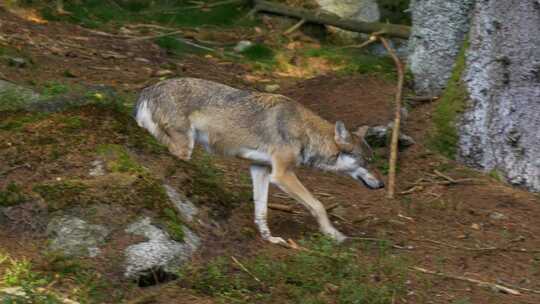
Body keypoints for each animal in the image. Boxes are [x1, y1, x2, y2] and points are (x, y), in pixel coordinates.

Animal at [134, 78, 384, 245]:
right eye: (366, 162)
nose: (382, 185)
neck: (305, 131)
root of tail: (148, 90)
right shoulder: (282, 175)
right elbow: (318, 205)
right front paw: (333, 234)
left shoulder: (260, 170)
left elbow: (261, 211)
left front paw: (269, 238)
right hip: (184, 148)